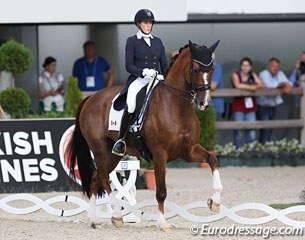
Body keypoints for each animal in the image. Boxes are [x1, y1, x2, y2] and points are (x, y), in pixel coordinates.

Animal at [66, 40, 223, 230]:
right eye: (196, 70)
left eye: (212, 69)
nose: (204, 103)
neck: (176, 107)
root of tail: (90, 98)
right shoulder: (159, 154)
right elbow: (161, 191)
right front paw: (162, 223)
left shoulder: (189, 151)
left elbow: (212, 160)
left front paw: (214, 202)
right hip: (100, 149)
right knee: (102, 176)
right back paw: (117, 216)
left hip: (113, 154)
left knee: (97, 177)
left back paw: (93, 220)